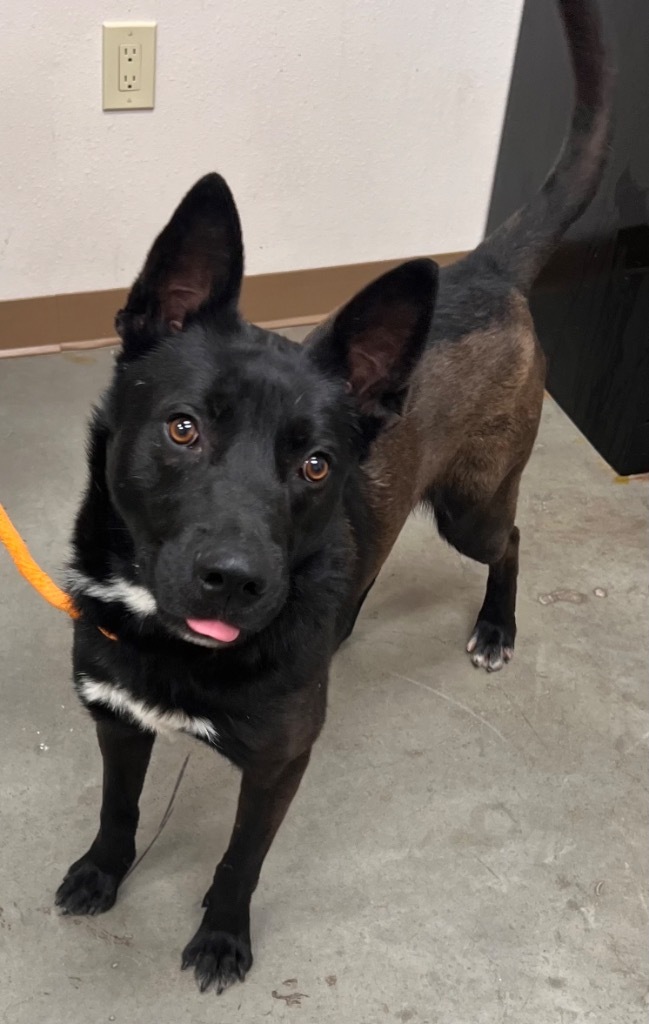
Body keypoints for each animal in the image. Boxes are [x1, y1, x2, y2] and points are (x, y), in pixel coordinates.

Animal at [52, 0, 610, 995]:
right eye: (183, 428)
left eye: (314, 465)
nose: (235, 581)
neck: (177, 646)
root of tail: (483, 269)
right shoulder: (115, 720)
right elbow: (120, 810)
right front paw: (102, 872)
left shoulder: (277, 764)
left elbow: (240, 859)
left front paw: (222, 936)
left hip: (470, 508)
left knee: (509, 540)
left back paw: (495, 628)